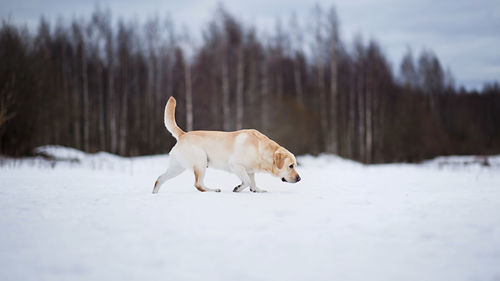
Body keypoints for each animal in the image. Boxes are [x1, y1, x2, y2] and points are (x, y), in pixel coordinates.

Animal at [152, 96, 300, 192]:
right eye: (291, 166)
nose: (299, 179)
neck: (260, 150)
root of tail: (183, 134)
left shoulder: (250, 171)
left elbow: (252, 182)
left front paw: (257, 190)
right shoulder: (236, 165)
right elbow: (246, 181)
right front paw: (238, 188)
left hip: (178, 167)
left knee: (159, 179)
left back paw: (155, 194)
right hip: (200, 163)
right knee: (198, 185)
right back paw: (213, 190)